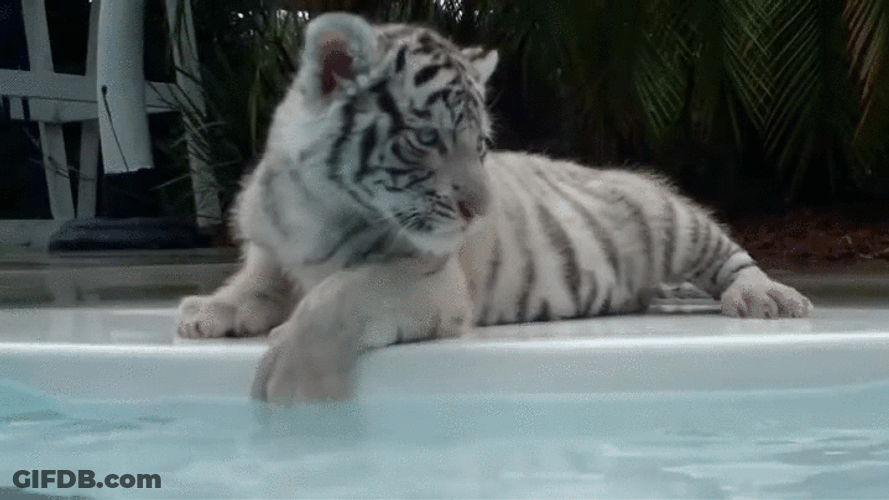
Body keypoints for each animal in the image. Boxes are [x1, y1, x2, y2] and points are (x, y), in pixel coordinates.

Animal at [176, 12, 813, 405]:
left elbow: (340, 296)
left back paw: (765, 297)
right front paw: (206, 311)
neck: (316, 206)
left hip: (669, 217)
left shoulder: (429, 276)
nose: (480, 212)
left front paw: (294, 376)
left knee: (729, 254)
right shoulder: (273, 249)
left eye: (481, 144)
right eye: (427, 139)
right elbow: (252, 283)